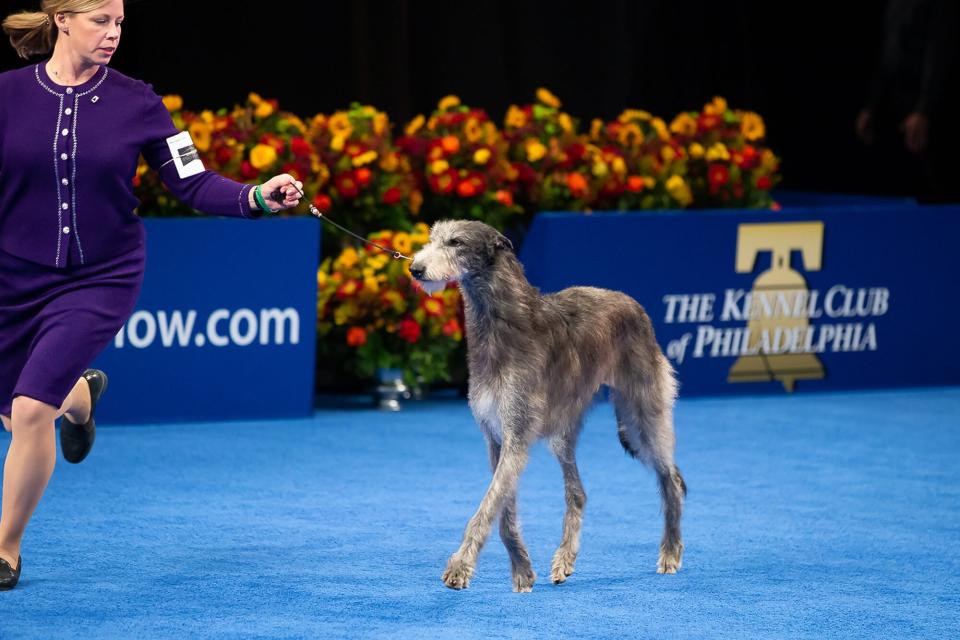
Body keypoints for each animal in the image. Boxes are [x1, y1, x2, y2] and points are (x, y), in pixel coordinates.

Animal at [408, 219, 688, 592]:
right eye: (432, 239)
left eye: (456, 242)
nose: (415, 269)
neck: (503, 324)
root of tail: (634, 305)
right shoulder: (496, 438)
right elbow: (503, 511)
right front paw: (522, 570)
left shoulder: (516, 435)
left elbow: (487, 507)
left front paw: (460, 567)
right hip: (564, 430)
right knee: (578, 492)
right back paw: (564, 560)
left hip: (640, 414)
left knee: (670, 480)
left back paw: (670, 552)